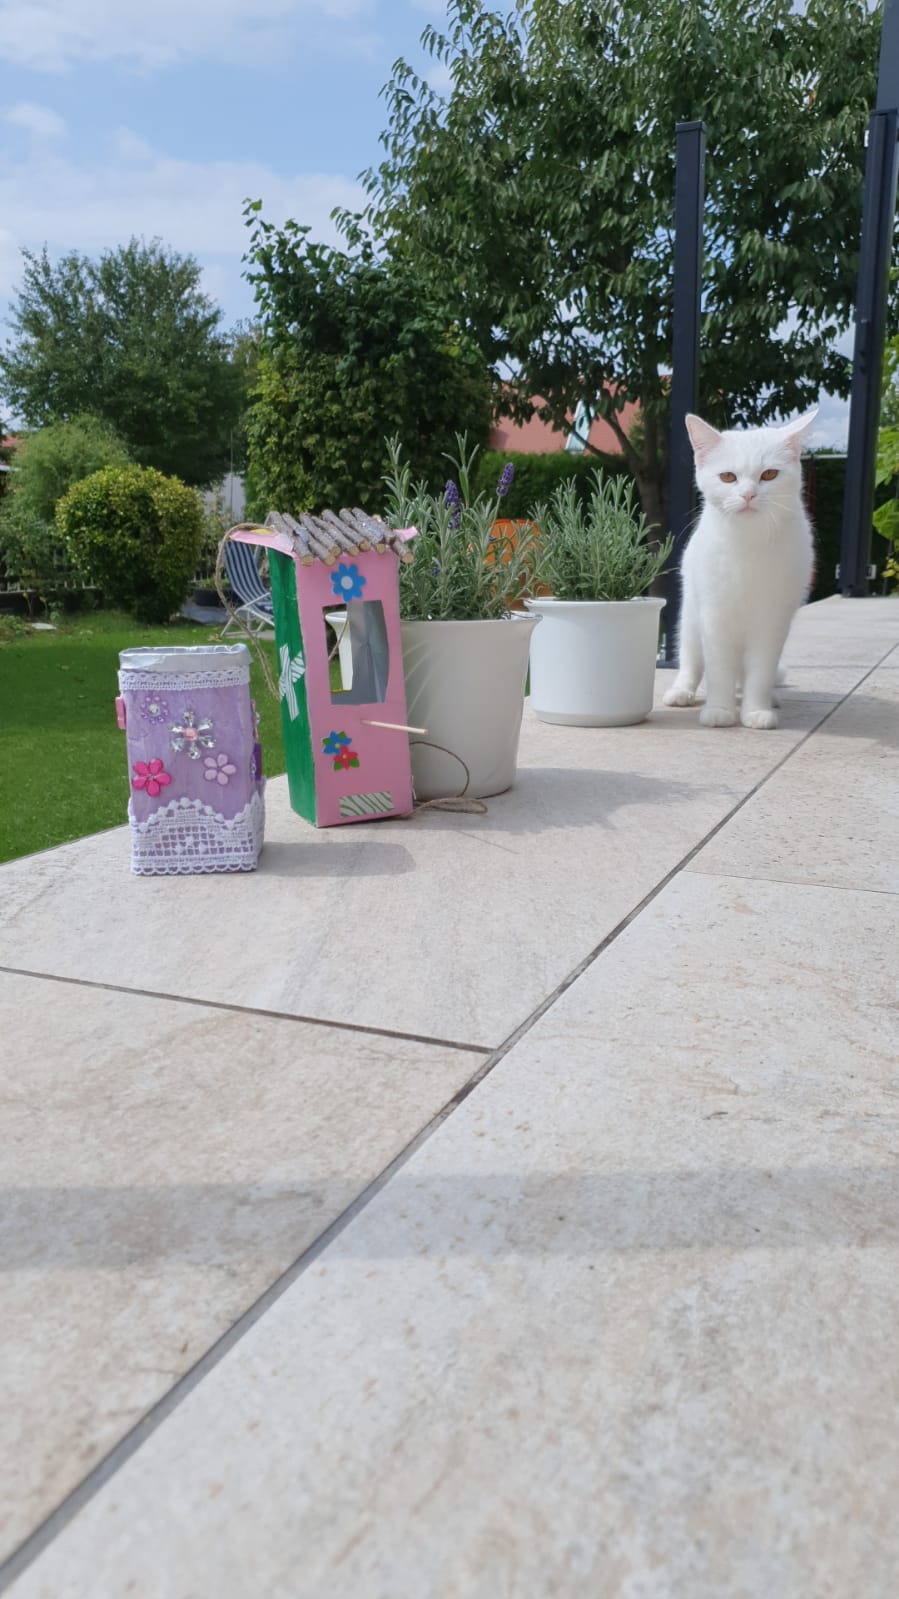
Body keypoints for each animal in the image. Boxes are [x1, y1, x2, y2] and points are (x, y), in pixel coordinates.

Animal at [662, 409, 817, 729]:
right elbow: (718, 669)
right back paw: (681, 692)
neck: (749, 540)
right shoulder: (714, 616)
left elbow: (760, 672)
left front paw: (755, 711)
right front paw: (719, 711)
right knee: (691, 661)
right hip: (690, 619)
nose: (748, 495)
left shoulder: (772, 621)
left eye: (769, 474)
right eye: (728, 477)